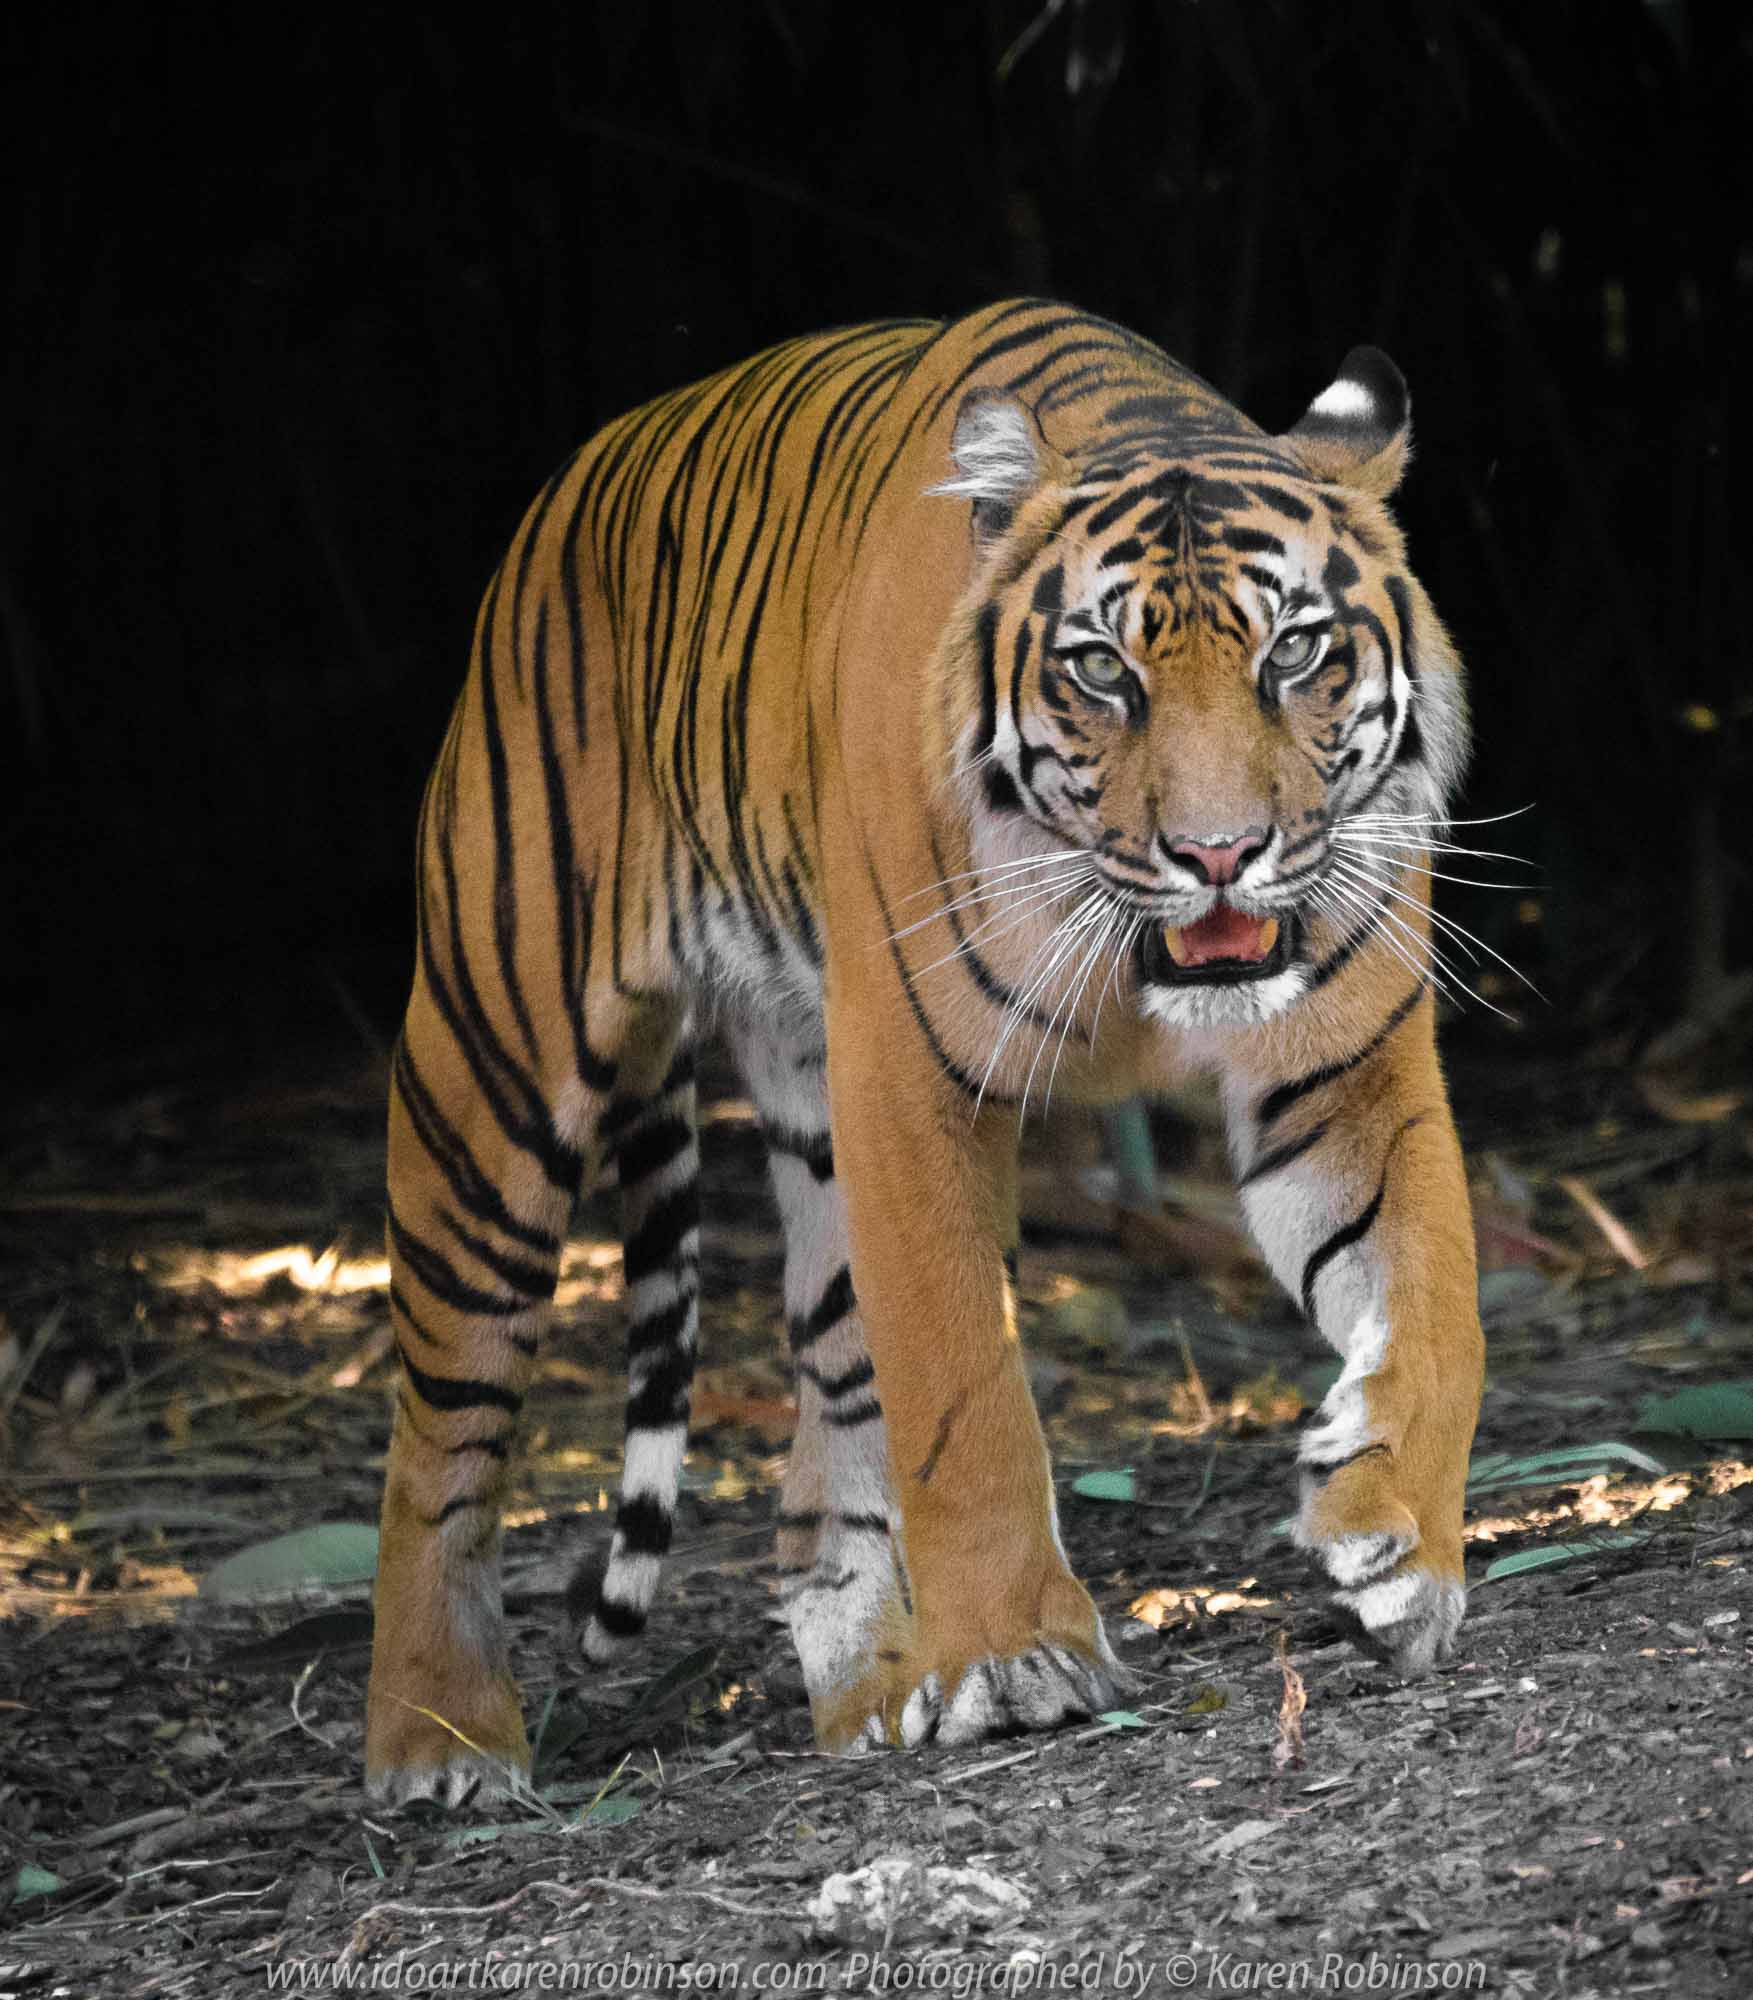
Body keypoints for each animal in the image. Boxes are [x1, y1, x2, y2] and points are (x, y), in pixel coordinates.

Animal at [365, 299, 1484, 1806]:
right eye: (1100, 669)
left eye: (1296, 652)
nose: (1218, 855)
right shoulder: (910, 1086)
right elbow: (965, 1391)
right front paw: (1014, 1654)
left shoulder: (1350, 1072)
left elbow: (1438, 1301)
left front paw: (1394, 1543)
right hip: (491, 1067)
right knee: (440, 1431)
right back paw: (438, 1737)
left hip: (808, 1122)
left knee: (818, 1449)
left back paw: (874, 1689)